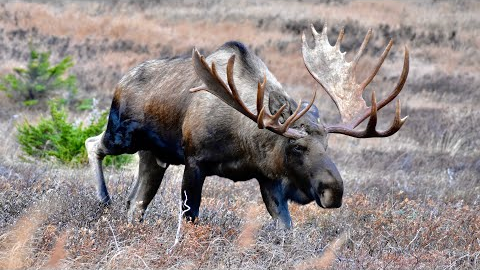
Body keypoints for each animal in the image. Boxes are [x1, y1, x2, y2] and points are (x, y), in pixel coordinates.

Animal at [85, 24, 408, 228]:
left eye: (327, 145)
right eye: (297, 146)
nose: (334, 190)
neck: (244, 141)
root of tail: (122, 80)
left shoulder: (268, 177)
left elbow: (285, 227)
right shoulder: (195, 161)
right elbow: (190, 218)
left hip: (154, 156)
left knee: (135, 202)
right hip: (122, 135)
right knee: (93, 144)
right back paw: (103, 198)